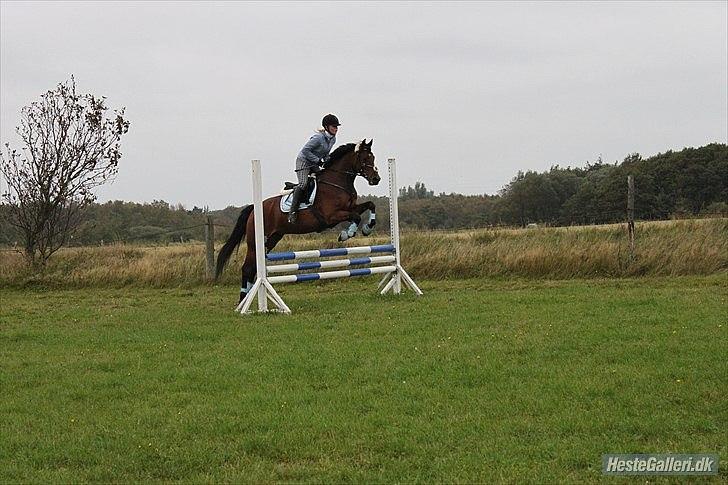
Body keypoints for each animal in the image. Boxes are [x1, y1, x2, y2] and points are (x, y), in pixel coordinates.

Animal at [213, 138, 382, 300]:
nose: (376, 179)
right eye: (365, 158)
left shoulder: (351, 207)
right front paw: (347, 234)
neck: (337, 182)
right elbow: (356, 217)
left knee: (254, 267)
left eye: (373, 157)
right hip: (255, 242)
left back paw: (248, 297)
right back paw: (243, 299)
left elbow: (370, 205)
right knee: (247, 268)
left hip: (273, 238)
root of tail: (254, 209)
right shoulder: (331, 216)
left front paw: (367, 228)